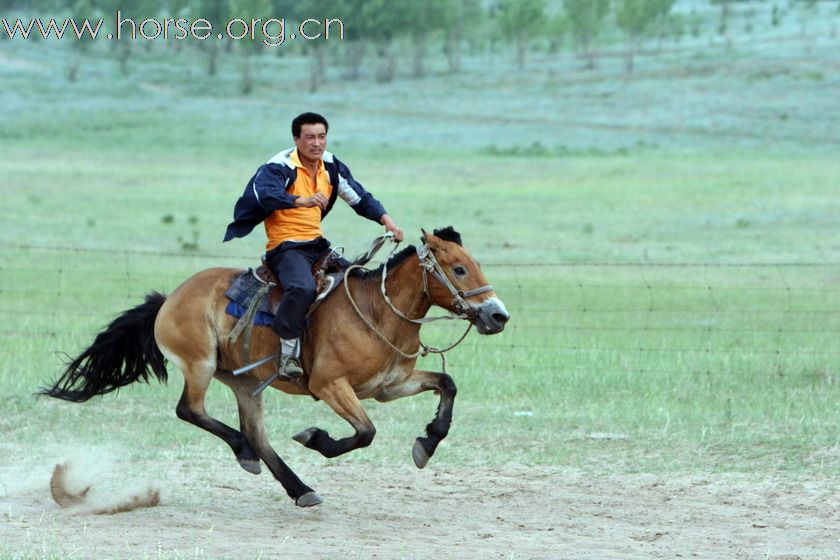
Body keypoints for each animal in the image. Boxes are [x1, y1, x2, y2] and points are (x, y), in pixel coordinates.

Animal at [39, 226, 508, 508]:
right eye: (459, 268)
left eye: (477, 265)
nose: (498, 315)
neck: (377, 311)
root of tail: (170, 297)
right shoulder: (330, 385)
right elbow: (365, 433)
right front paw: (315, 437)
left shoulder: (390, 386)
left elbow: (447, 384)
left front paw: (426, 443)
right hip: (201, 364)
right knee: (192, 411)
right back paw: (250, 455)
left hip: (246, 383)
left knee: (256, 435)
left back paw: (298, 487)